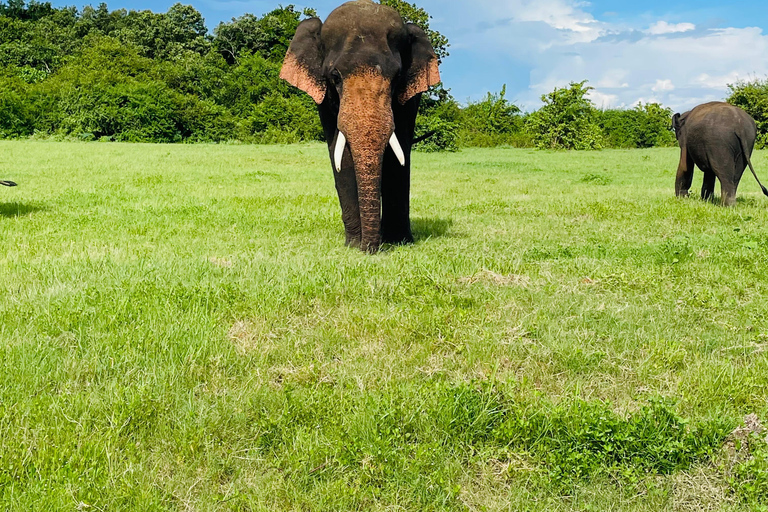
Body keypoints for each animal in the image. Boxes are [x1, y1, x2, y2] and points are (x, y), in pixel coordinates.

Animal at [280, 0, 441, 252]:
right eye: (335, 77)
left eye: (397, 78)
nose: (370, 249)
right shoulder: (324, 99)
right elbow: (340, 155)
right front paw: (354, 244)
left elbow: (399, 154)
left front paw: (398, 242)